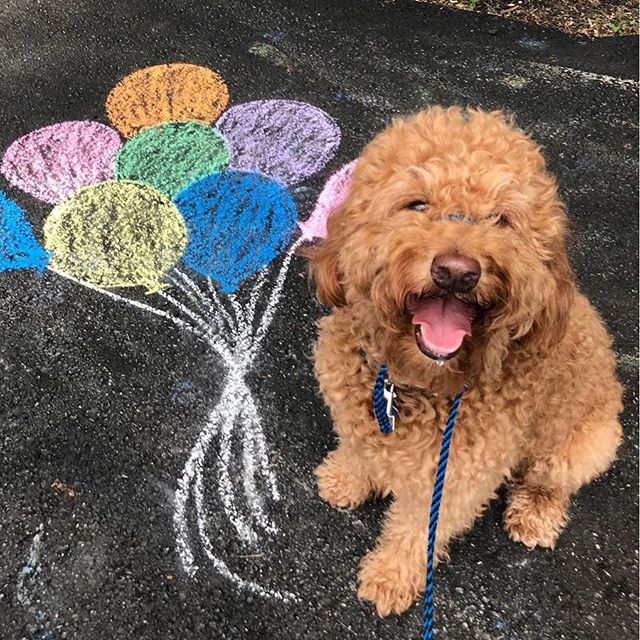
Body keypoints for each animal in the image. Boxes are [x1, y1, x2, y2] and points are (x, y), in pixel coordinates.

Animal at [302, 106, 624, 616]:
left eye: (502, 220)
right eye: (416, 204)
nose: (456, 271)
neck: (416, 381)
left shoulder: (456, 473)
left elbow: (419, 530)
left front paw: (390, 577)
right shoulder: (354, 411)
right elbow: (358, 447)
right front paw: (348, 477)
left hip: (587, 441)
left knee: (552, 480)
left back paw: (535, 512)